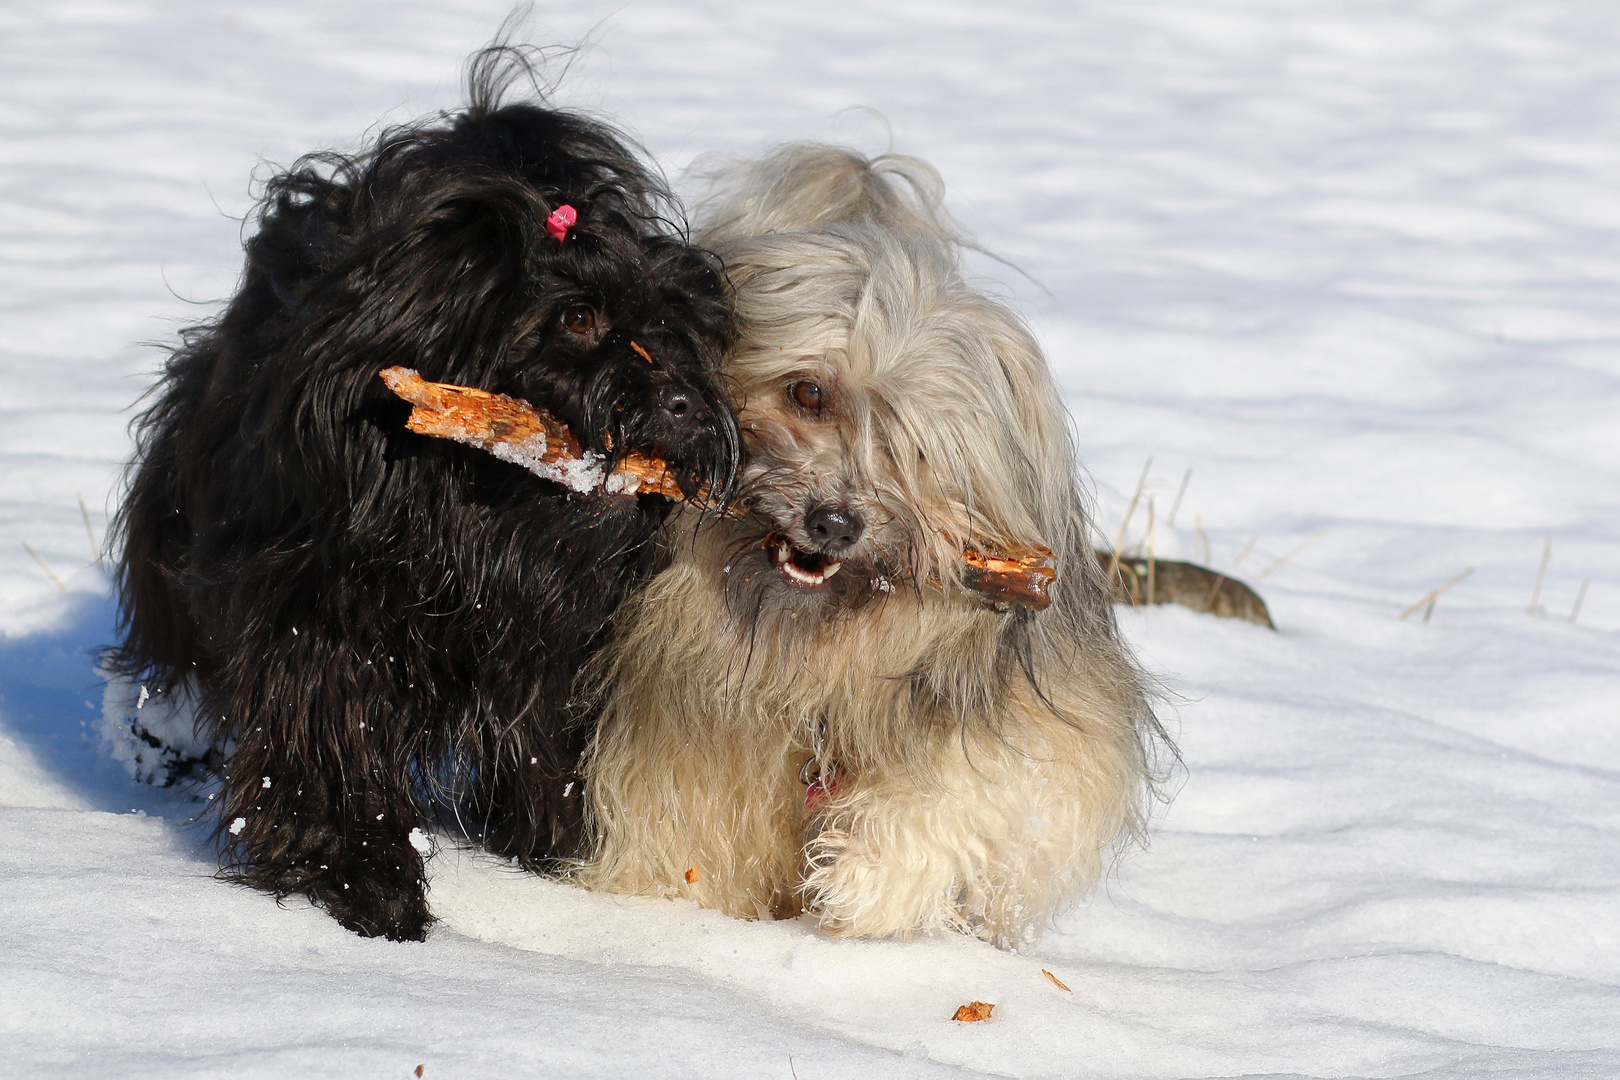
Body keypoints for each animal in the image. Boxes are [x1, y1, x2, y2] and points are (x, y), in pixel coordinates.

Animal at [112, 50, 741, 939]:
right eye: (578, 317)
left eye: (675, 325)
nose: (685, 404)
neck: (473, 522)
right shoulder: (322, 616)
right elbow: (329, 738)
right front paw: (360, 881)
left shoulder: (561, 649)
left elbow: (553, 745)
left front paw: (565, 855)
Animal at [570, 143, 1166, 945]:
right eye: (808, 392)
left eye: (918, 450)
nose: (834, 522)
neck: (814, 662)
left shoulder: (1029, 718)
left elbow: (969, 793)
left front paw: (867, 881)